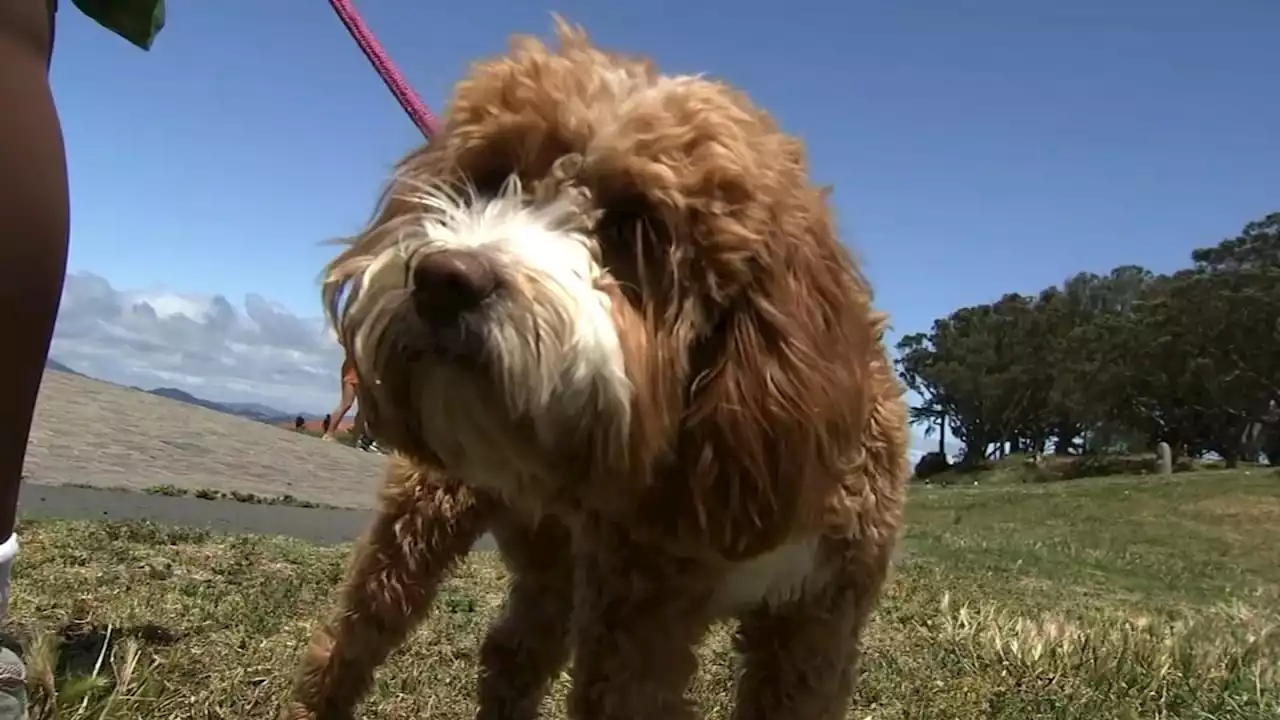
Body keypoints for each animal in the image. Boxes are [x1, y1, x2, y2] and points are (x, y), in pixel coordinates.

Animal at [288, 16, 911, 717]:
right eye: (490, 177)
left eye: (636, 224)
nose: (443, 280)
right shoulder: (637, 617)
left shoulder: (818, 620)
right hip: (423, 518)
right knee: (355, 634)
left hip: (555, 564)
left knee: (513, 649)